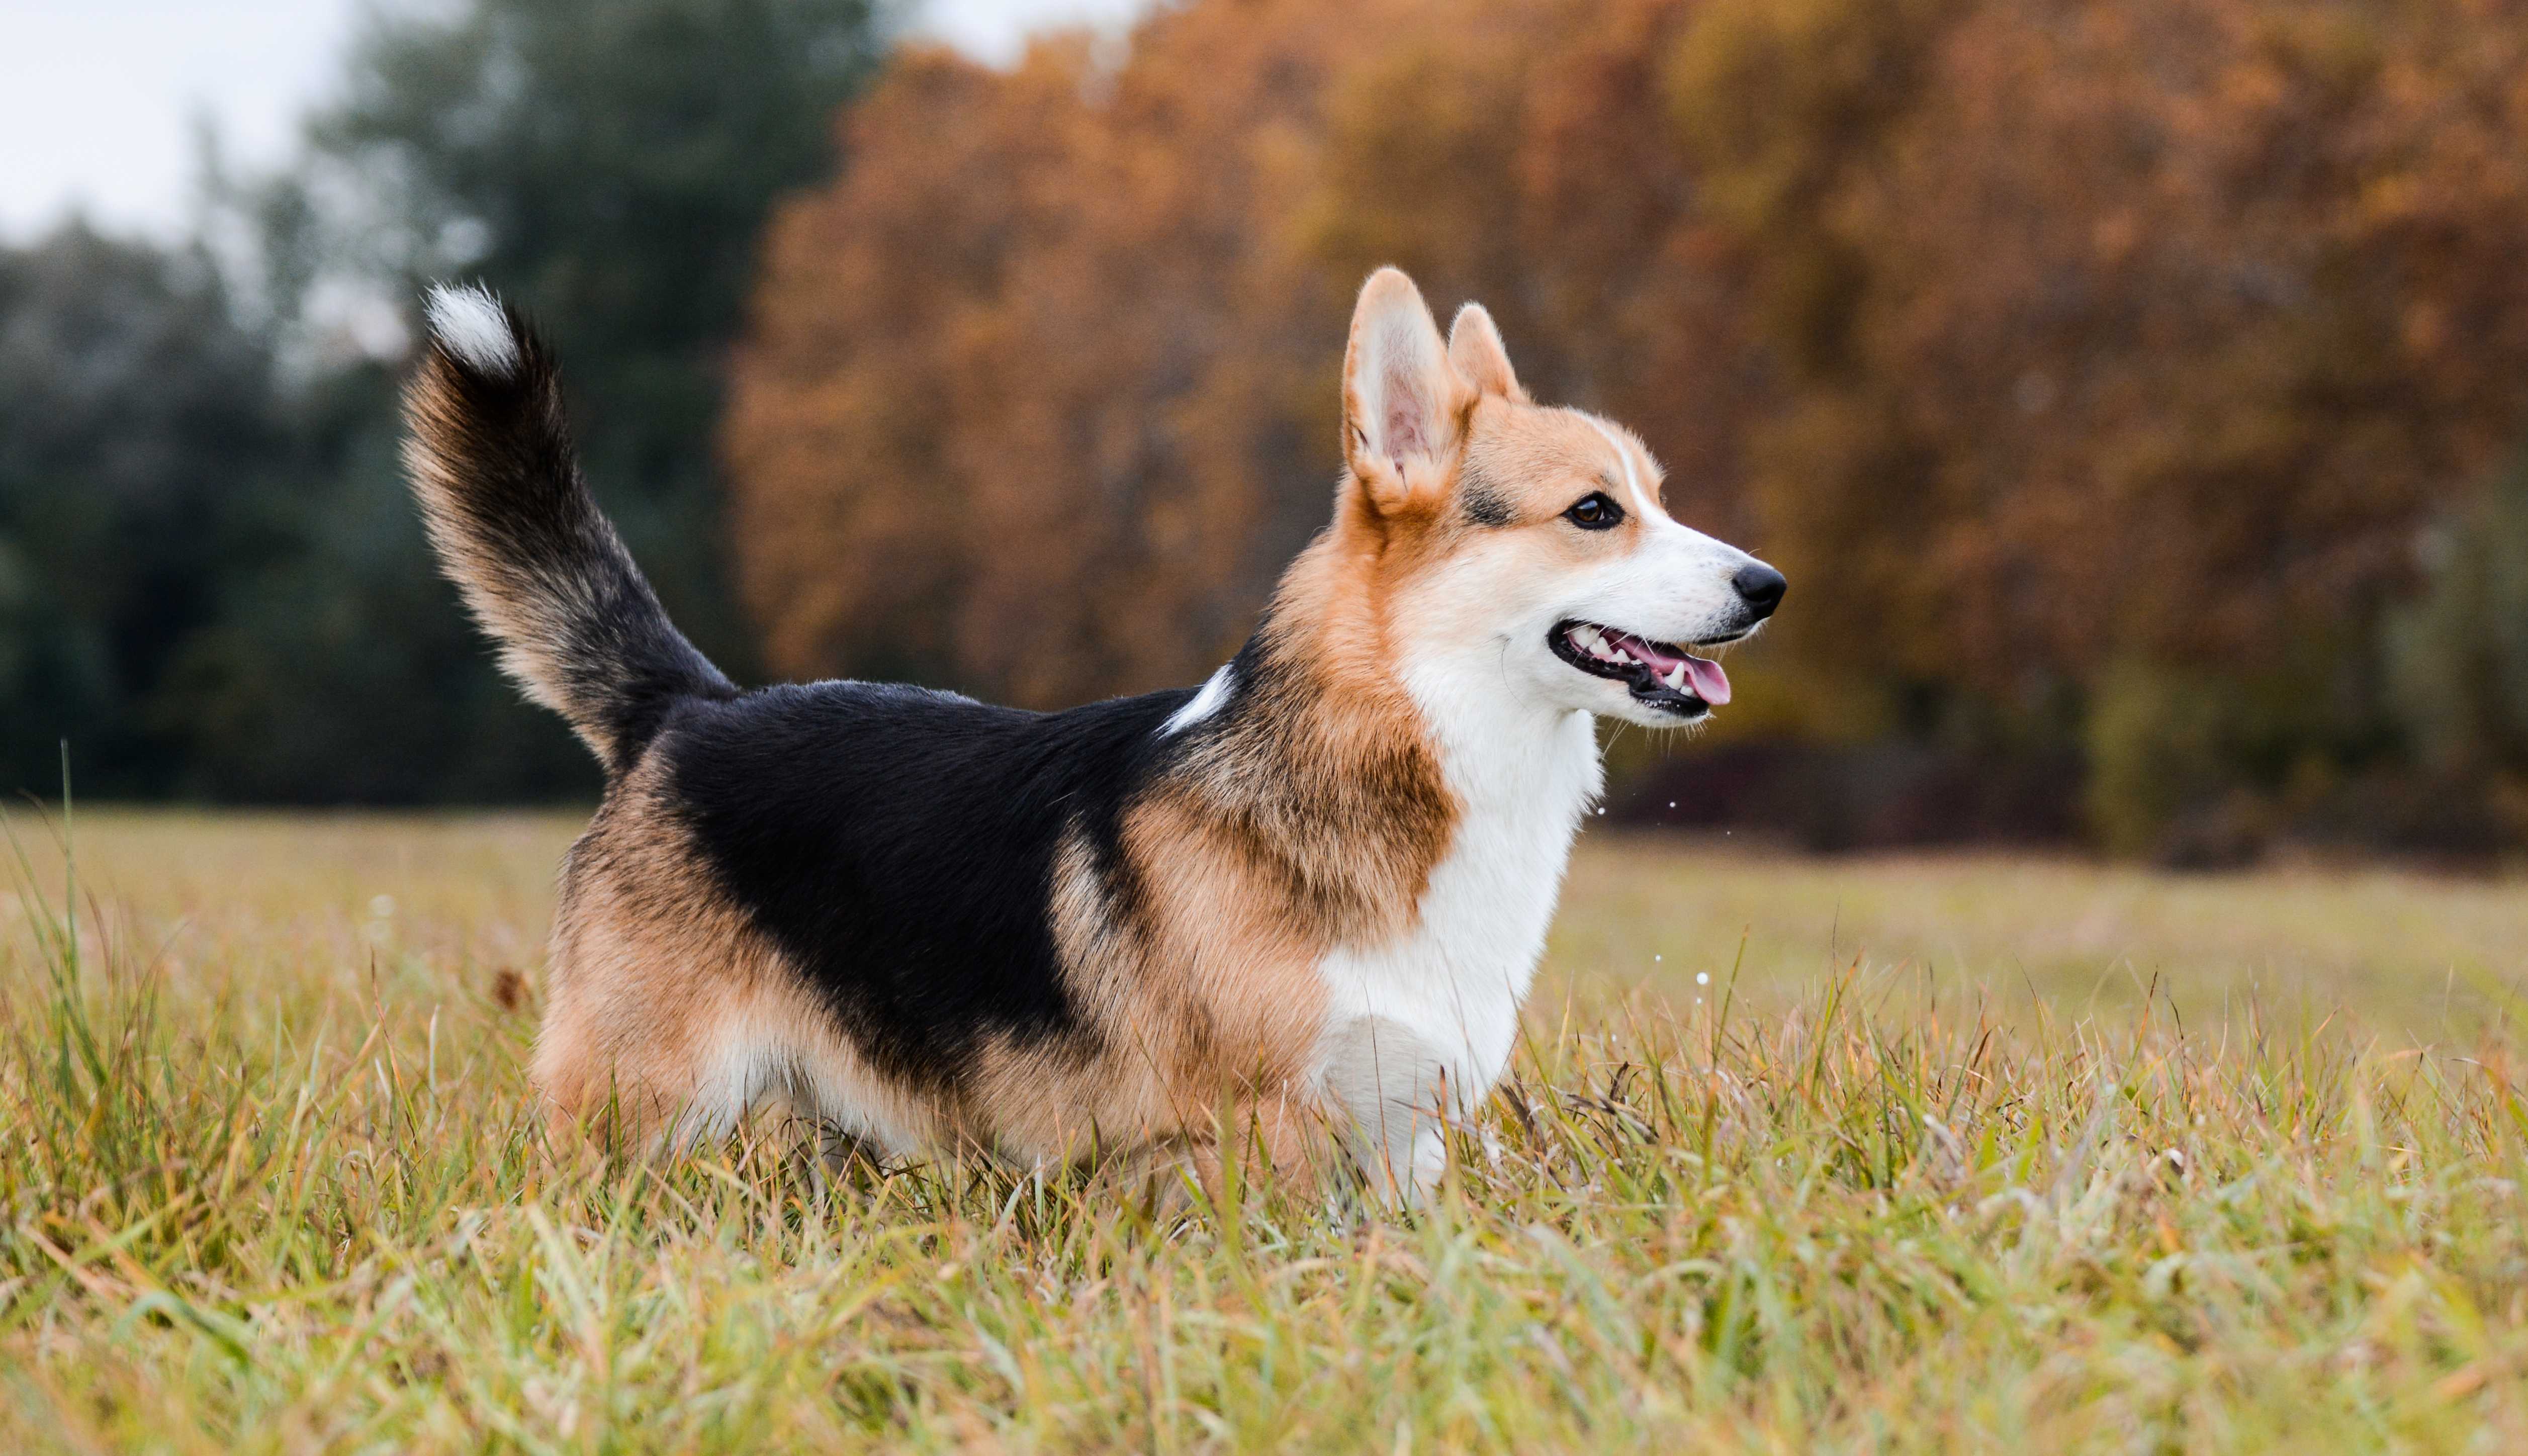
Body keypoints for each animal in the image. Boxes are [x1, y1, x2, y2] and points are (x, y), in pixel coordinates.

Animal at [404, 267, 1779, 1198]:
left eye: (1656, 496)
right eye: (1593, 512)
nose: (1769, 585)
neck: (1410, 741)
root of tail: (689, 706)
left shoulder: (1402, 1142)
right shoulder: (1263, 1136)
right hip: (634, 1110)